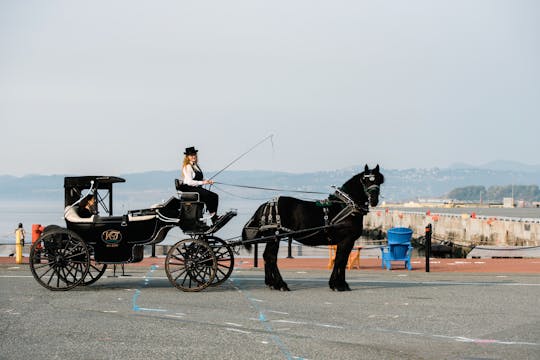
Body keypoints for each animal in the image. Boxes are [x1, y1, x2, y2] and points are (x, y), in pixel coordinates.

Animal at [240, 165, 384, 292]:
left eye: (379, 180)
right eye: (365, 180)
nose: (374, 200)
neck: (345, 206)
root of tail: (266, 204)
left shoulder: (345, 242)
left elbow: (341, 260)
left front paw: (340, 284)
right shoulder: (346, 240)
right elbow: (340, 261)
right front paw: (338, 285)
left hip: (273, 238)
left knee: (267, 256)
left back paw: (271, 283)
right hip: (275, 237)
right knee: (271, 257)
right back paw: (281, 284)